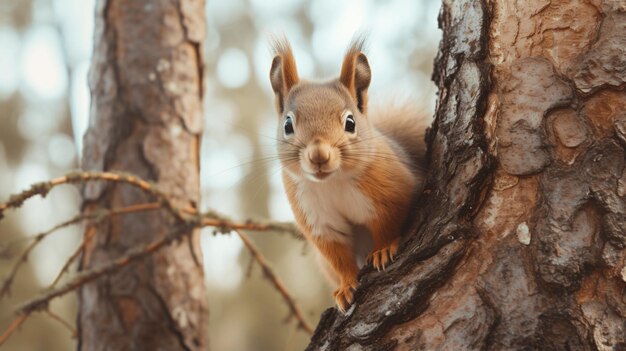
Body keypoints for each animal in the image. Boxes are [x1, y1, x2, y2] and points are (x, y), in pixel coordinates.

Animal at [266, 37, 426, 314]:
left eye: (350, 123)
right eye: (287, 125)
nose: (319, 155)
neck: (332, 182)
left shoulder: (391, 191)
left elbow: (388, 222)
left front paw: (383, 250)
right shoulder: (317, 219)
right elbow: (338, 255)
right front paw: (346, 286)